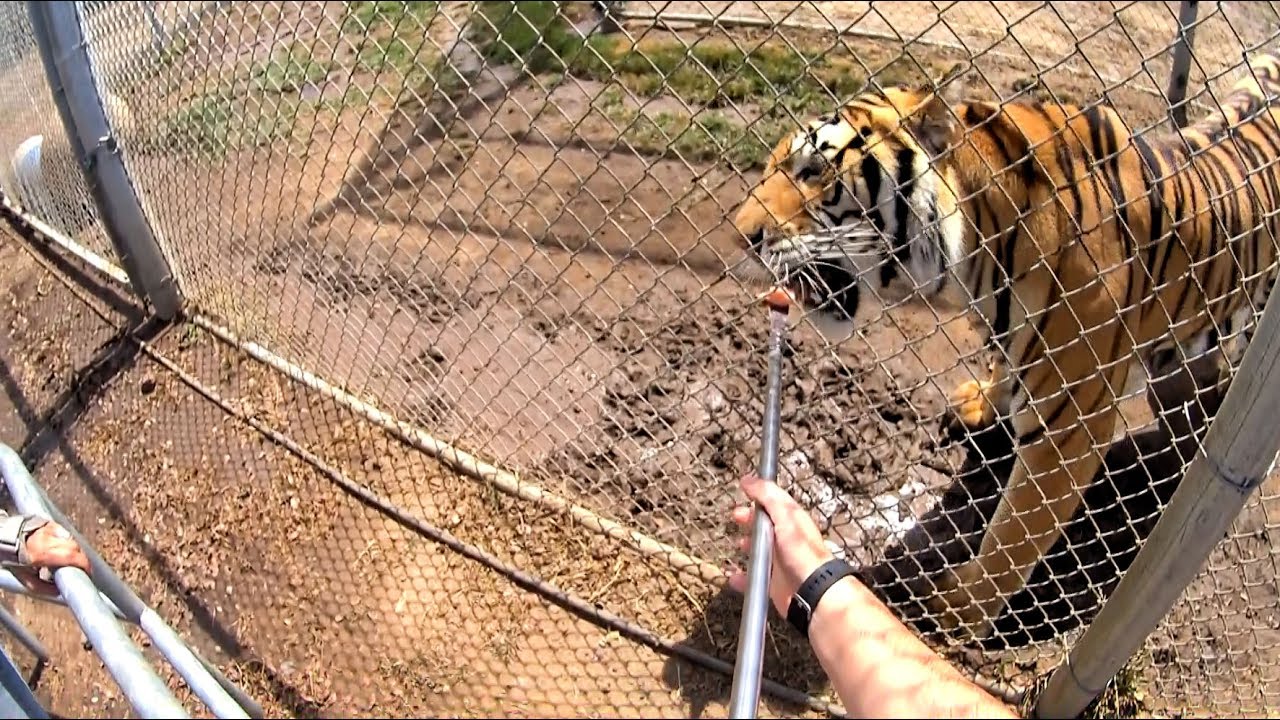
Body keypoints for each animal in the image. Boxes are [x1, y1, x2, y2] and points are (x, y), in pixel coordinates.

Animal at [730, 49, 1280, 640]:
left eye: (812, 171)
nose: (739, 235)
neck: (978, 258)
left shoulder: (1069, 424)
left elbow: (1013, 538)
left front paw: (953, 612)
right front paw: (981, 403)